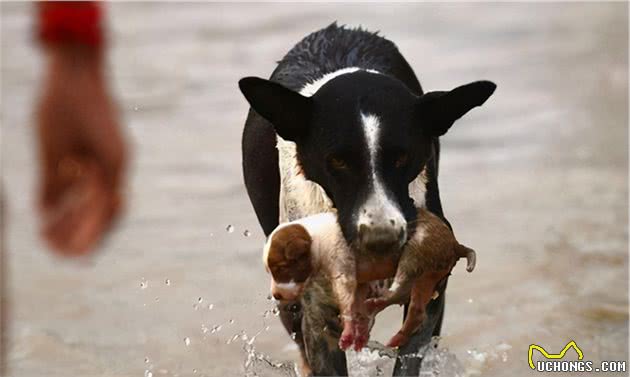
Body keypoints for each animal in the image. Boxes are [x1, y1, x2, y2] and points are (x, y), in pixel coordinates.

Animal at [260, 209, 474, 350]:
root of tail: (455, 244)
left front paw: (348, 333)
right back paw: (388, 324)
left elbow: (347, 304)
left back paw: (380, 305)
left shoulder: (343, 273)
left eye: (281, 268)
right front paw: (360, 330)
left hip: (416, 252)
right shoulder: (359, 282)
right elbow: (355, 304)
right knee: (414, 308)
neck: (315, 239)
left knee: (403, 289)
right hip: (426, 278)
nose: (276, 295)